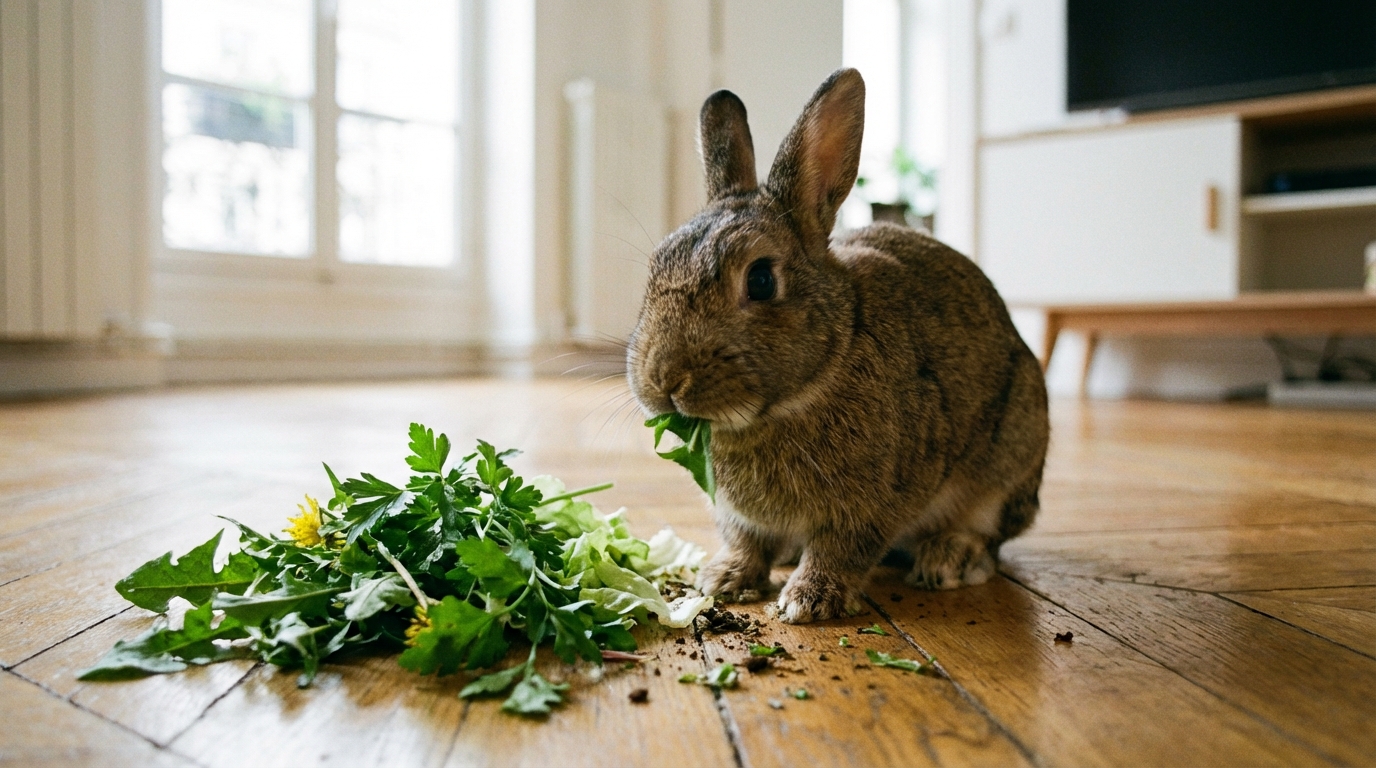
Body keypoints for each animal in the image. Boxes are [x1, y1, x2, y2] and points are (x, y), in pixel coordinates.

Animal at [626, 68, 1049, 623]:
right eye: (656, 263)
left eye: (760, 280)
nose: (664, 380)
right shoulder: (737, 514)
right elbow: (746, 542)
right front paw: (724, 578)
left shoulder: (872, 503)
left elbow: (840, 548)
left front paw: (809, 599)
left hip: (1009, 457)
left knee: (990, 536)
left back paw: (948, 558)